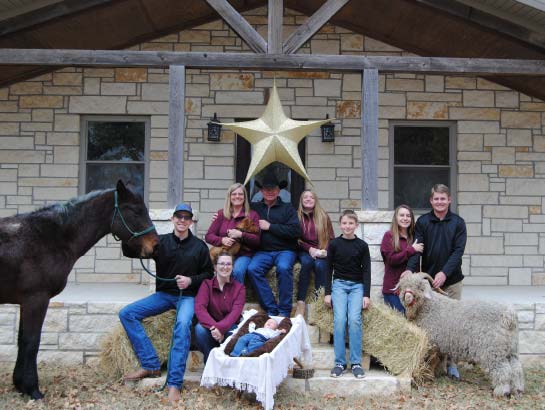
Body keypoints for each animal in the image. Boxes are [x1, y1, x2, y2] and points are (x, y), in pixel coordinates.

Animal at [0, 179, 157, 398]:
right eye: (135, 211)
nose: (155, 245)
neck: (49, 238)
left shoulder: (26, 302)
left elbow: (22, 339)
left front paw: (20, 385)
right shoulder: (35, 299)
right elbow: (31, 342)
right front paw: (33, 389)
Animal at [396, 272, 524, 398]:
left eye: (419, 287)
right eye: (403, 286)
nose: (408, 297)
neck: (429, 306)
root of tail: (509, 316)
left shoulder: (432, 342)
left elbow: (430, 361)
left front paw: (427, 376)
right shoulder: (440, 345)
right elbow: (440, 360)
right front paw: (438, 374)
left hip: (493, 350)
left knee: (503, 369)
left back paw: (501, 391)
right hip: (511, 348)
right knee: (516, 368)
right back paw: (517, 389)